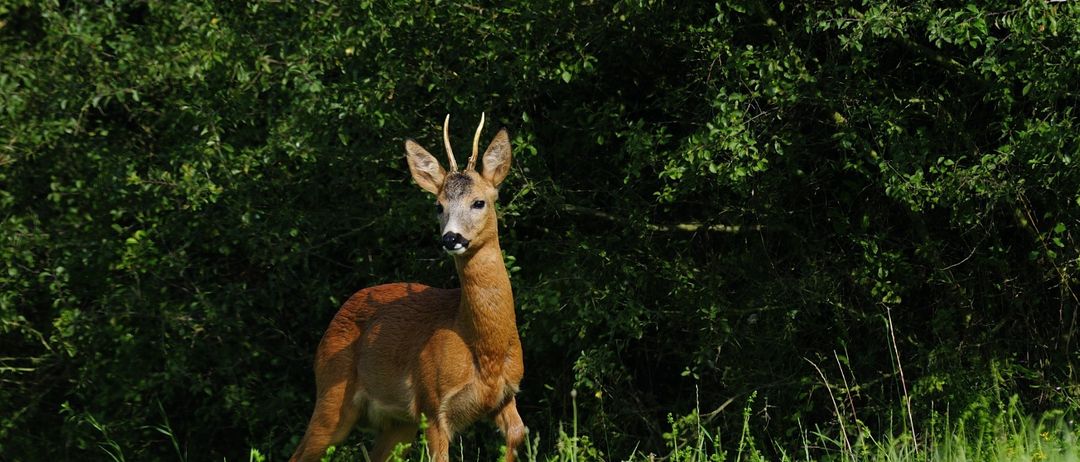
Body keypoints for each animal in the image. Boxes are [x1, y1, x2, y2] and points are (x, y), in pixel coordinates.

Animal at [290, 114, 525, 462]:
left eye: (479, 202)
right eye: (439, 206)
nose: (451, 238)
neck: (485, 347)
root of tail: (339, 313)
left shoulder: (506, 396)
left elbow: (518, 435)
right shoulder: (432, 403)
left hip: (398, 424)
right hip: (331, 394)